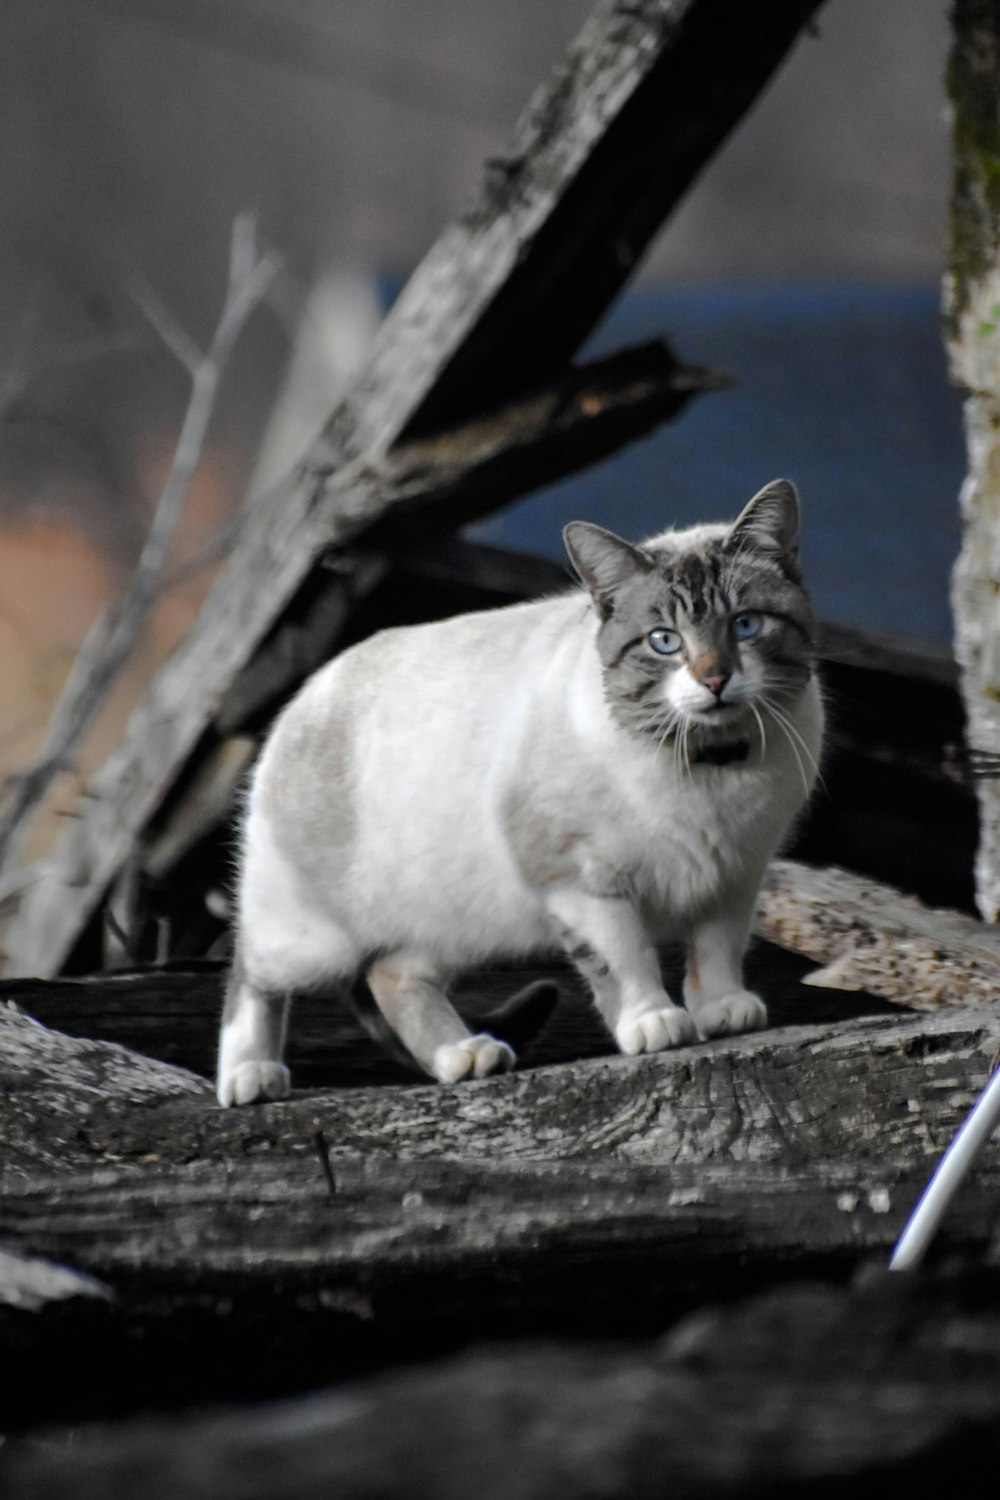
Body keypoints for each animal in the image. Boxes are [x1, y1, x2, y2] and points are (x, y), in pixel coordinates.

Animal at [217, 480, 821, 1104]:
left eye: (745, 625)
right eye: (664, 642)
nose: (715, 678)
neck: (706, 762)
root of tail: (310, 685)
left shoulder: (736, 875)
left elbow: (716, 950)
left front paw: (721, 1010)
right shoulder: (584, 883)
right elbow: (626, 958)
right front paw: (653, 1021)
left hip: (459, 917)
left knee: (393, 974)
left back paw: (464, 1055)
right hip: (310, 938)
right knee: (249, 970)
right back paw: (249, 1076)